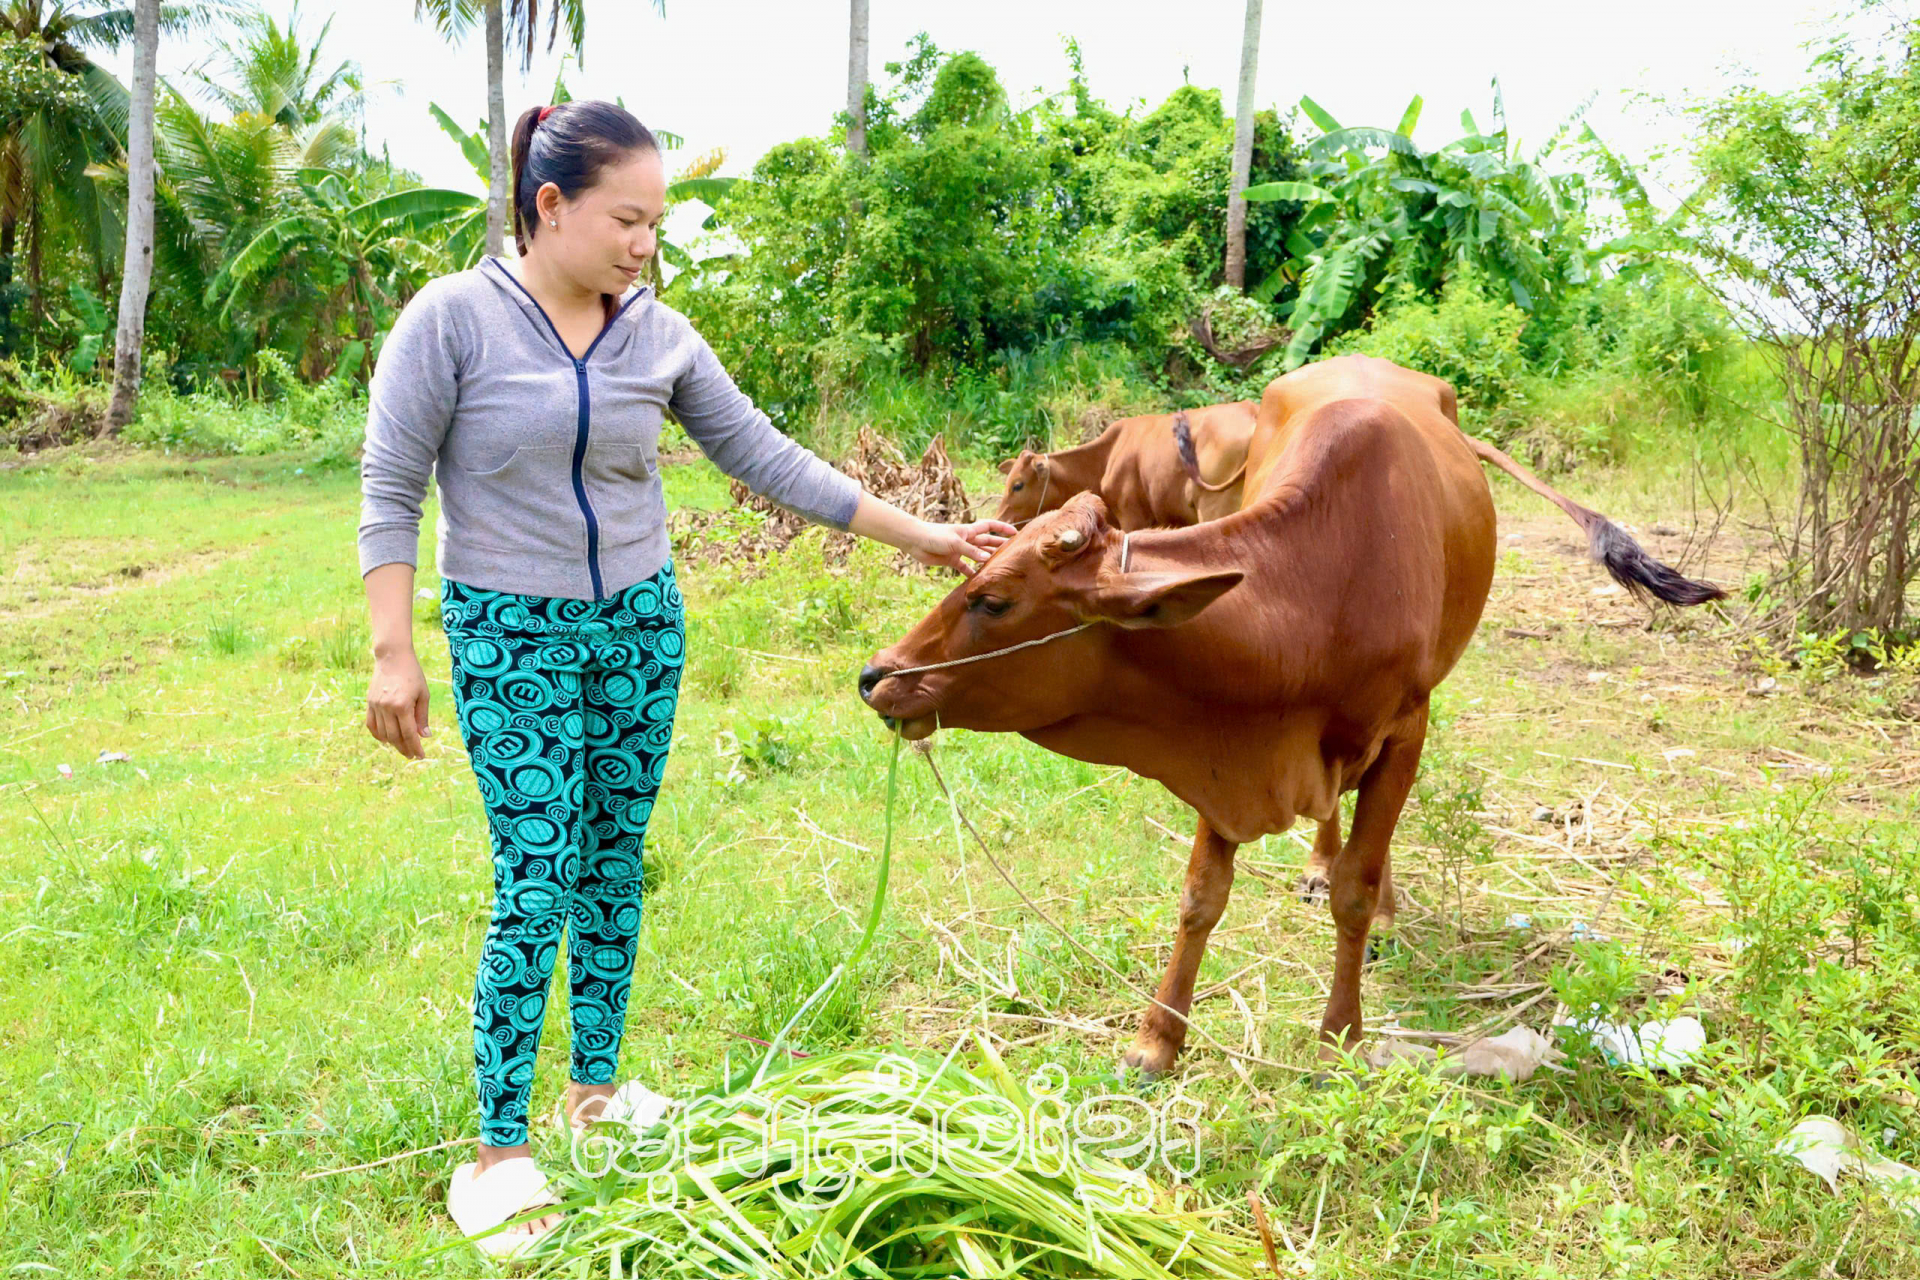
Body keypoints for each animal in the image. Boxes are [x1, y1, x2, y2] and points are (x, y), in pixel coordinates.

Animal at [990, 404, 1259, 537]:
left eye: (1017, 485)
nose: (997, 523)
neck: (1106, 457)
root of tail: (1252, 411)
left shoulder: (1133, 517)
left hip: (1216, 508)